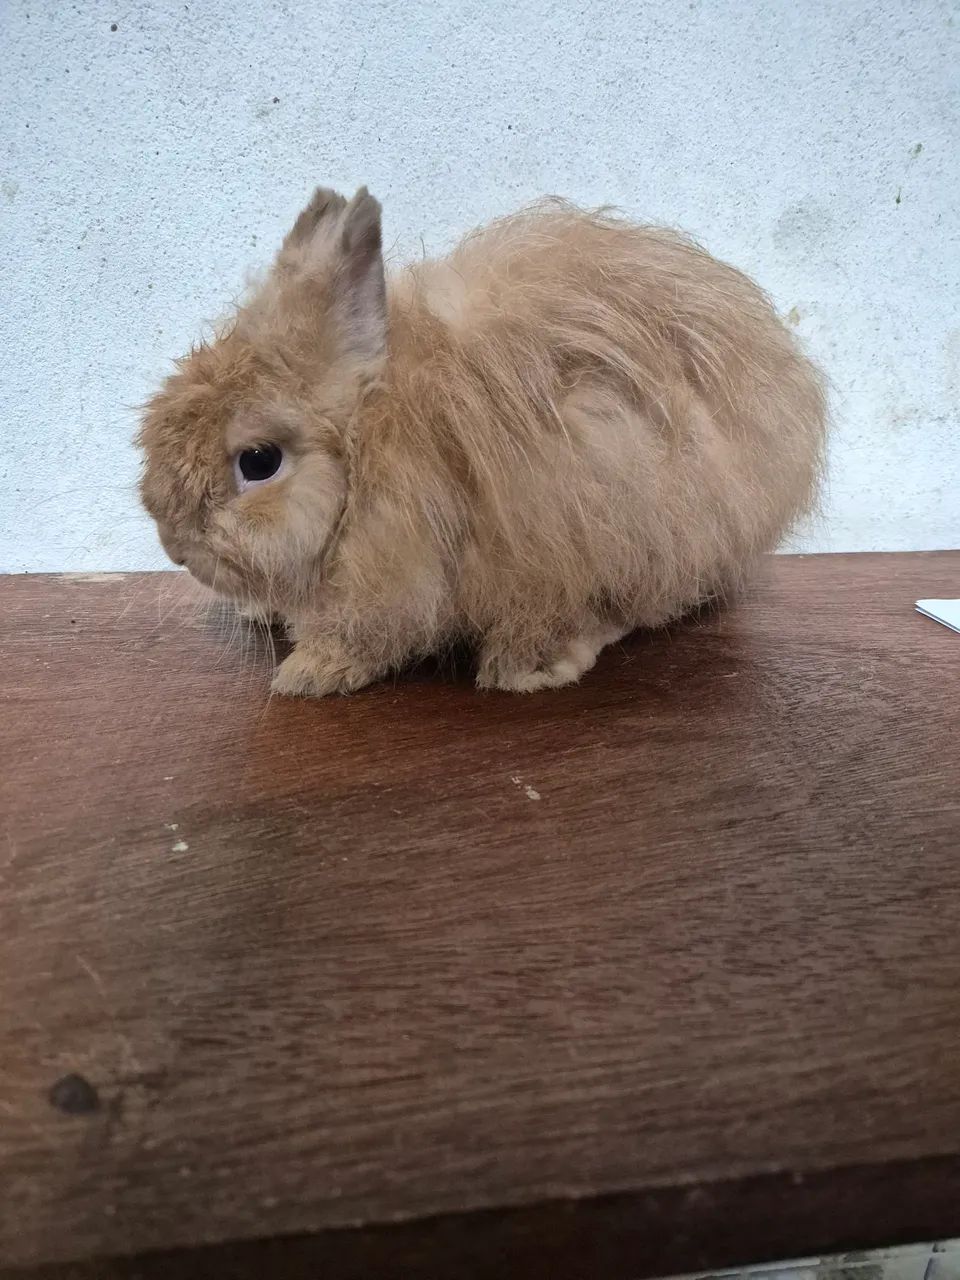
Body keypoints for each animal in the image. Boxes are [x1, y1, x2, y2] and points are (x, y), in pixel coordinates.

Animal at [138, 187, 826, 696]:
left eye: (258, 461)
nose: (174, 546)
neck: (368, 450)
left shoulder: (402, 575)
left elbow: (367, 636)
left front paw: (306, 675)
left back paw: (533, 664)